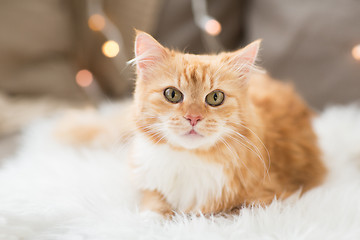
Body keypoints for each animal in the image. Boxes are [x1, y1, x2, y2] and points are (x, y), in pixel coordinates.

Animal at [54, 30, 328, 218]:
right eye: (173, 95)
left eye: (215, 98)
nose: (193, 117)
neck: (189, 159)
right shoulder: (148, 182)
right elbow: (153, 204)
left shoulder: (267, 198)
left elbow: (227, 211)